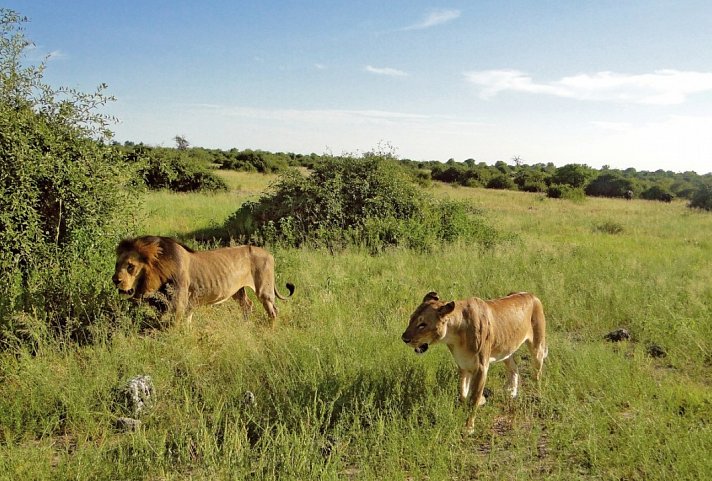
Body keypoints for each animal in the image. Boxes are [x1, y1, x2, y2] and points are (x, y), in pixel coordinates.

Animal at [113, 235, 294, 324]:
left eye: (130, 266)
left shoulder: (179, 302)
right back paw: (245, 326)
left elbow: (174, 325)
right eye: (117, 264)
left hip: (264, 291)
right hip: (238, 291)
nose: (115, 280)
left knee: (273, 311)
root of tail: (269, 253)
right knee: (247, 306)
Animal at [404, 290, 548, 434]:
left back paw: (537, 395)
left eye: (422, 324)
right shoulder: (463, 365)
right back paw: (512, 392)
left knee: (537, 373)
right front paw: (480, 402)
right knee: (514, 367)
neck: (454, 334)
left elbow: (473, 398)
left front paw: (469, 427)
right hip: (506, 349)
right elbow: (463, 393)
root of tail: (531, 294)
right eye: (411, 319)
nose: (404, 338)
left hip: (537, 346)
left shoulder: (481, 368)